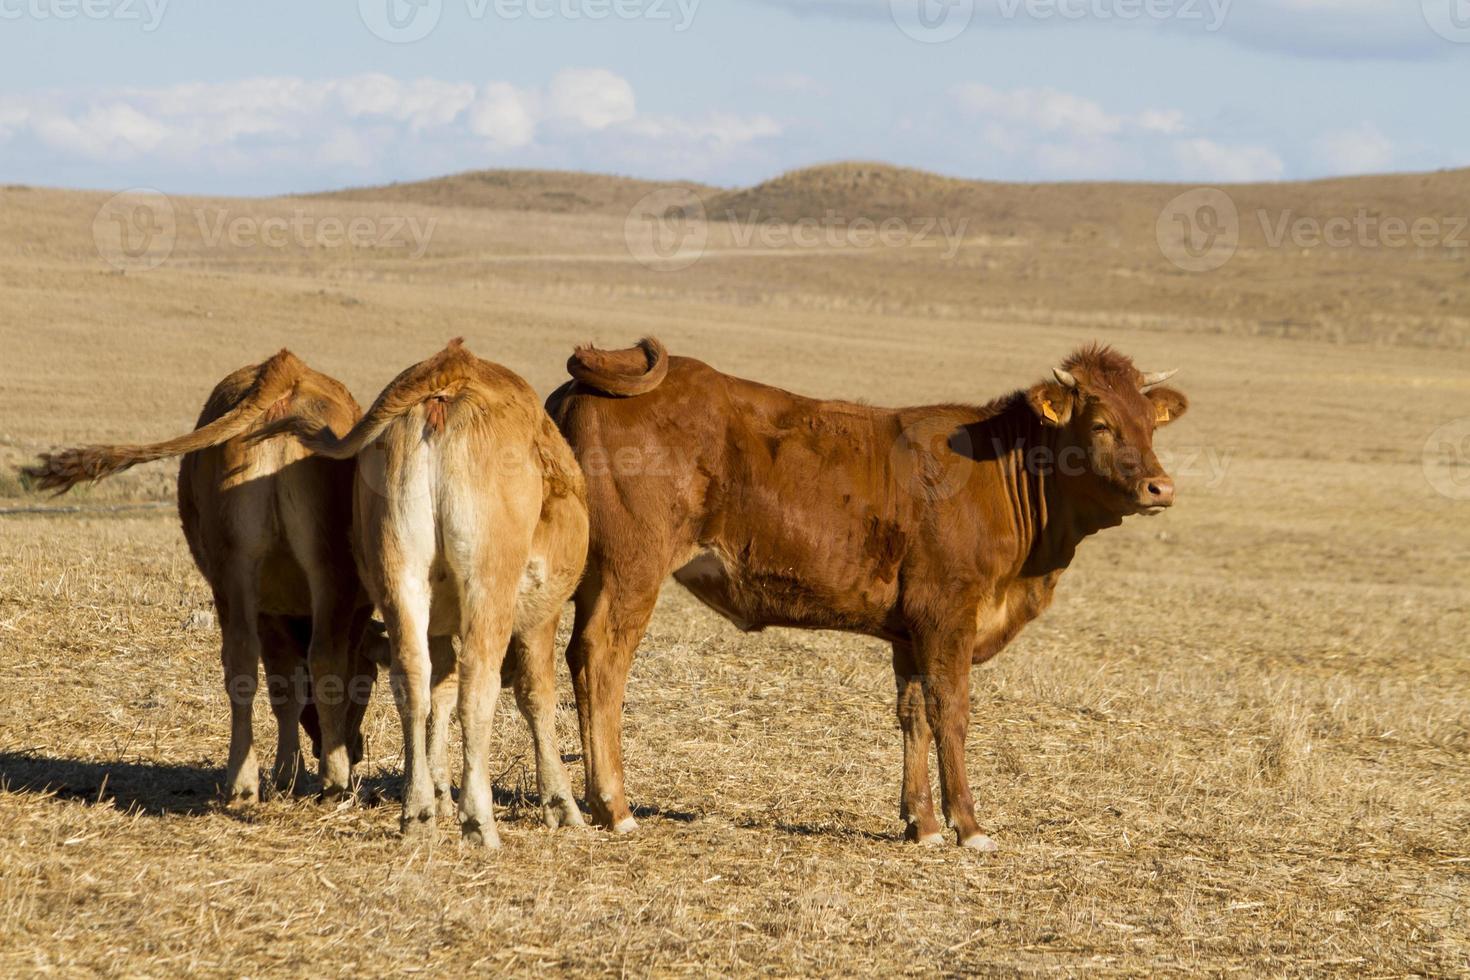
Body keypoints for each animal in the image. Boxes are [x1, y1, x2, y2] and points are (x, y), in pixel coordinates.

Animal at [24, 352, 379, 805]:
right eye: (370, 685)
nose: (358, 748)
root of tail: (286, 372)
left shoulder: (269, 611)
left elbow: (285, 690)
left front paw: (286, 773)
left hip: (239, 574)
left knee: (244, 663)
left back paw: (244, 782)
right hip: (323, 574)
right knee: (322, 661)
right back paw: (332, 782)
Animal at [277, 339, 588, 846]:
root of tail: (449, 381)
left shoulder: (438, 624)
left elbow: (438, 691)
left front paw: (440, 793)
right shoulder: (540, 617)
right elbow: (535, 696)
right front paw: (560, 802)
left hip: (400, 573)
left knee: (412, 680)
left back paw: (418, 809)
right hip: (488, 584)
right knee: (477, 686)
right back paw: (478, 819)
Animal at [546, 337, 1187, 846]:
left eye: (1150, 425)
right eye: (1099, 423)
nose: (1161, 487)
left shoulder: (911, 631)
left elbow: (914, 715)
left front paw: (922, 824)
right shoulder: (948, 614)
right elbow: (951, 710)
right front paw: (969, 826)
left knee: (569, 658)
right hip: (632, 570)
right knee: (603, 661)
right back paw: (615, 806)